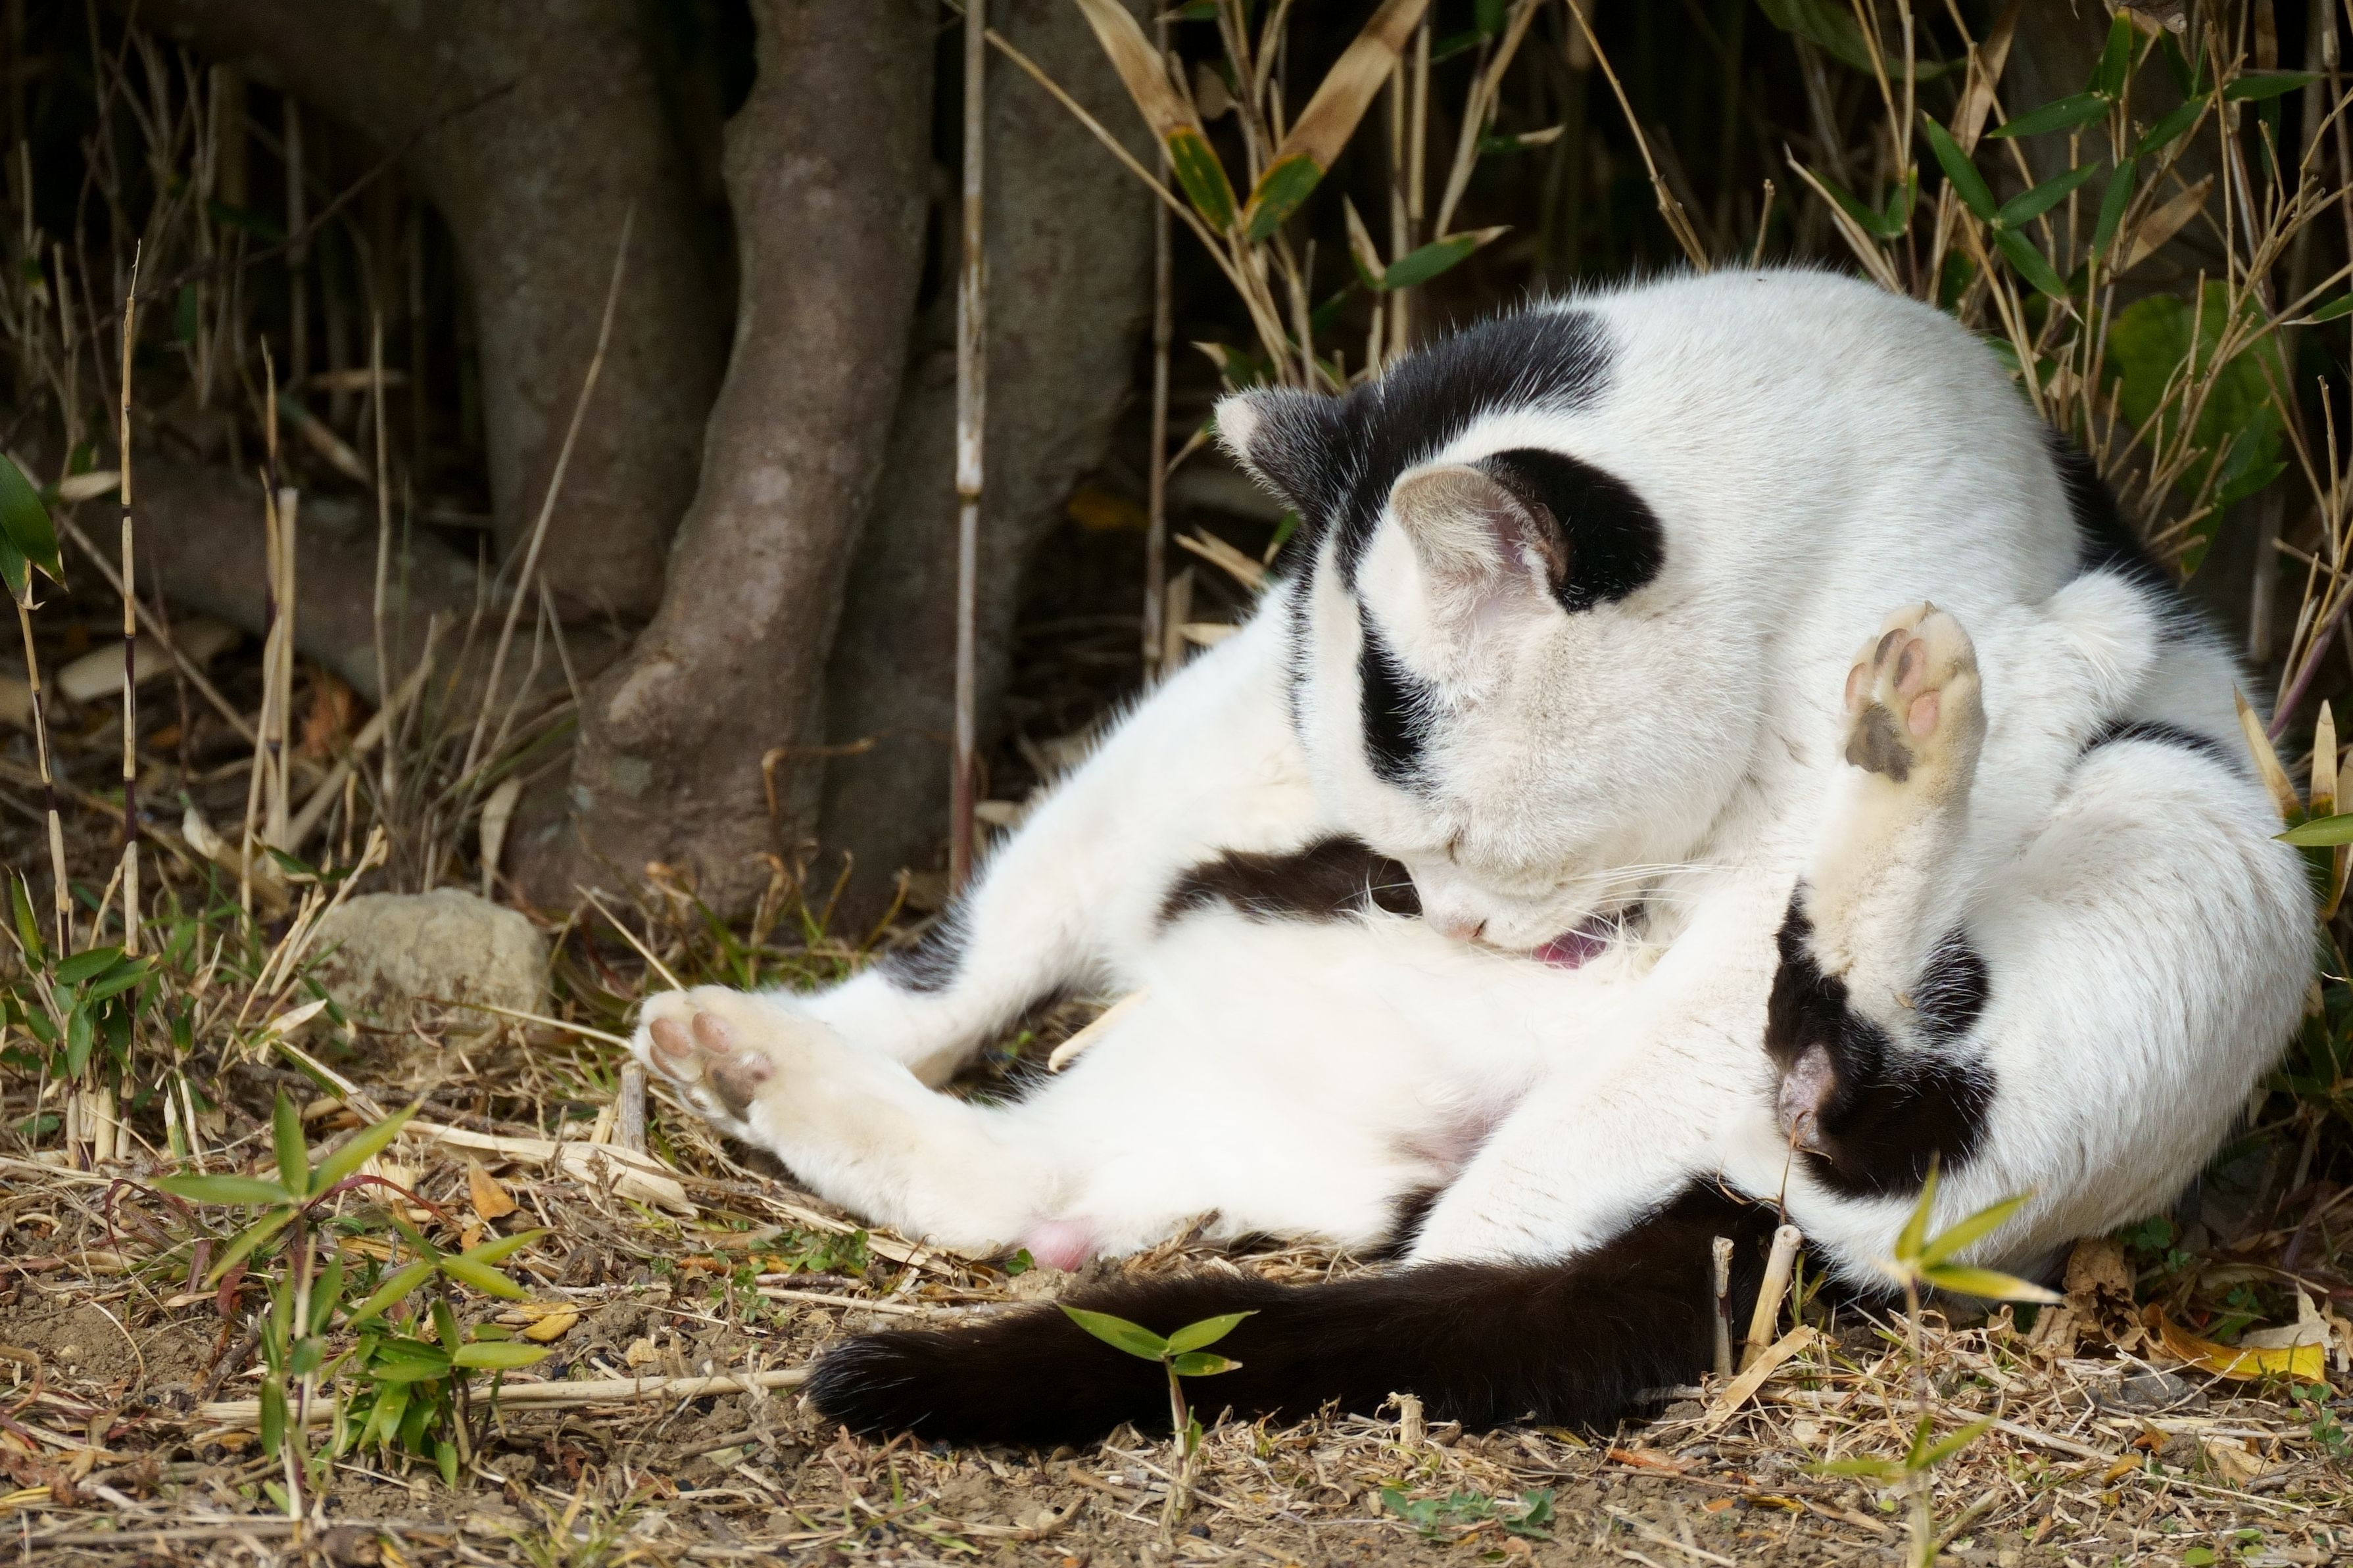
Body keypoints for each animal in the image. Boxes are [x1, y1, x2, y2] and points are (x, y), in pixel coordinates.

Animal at [629, 268, 2311, 1445]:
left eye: (1460, 837)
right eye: (1393, 843)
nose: (1434, 915)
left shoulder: (1986, 666)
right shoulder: (1227, 706)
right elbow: (986, 930)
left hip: (2197, 848)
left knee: (1834, 1084)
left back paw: (1918, 731)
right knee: (1048, 1185)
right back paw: (756, 1057)